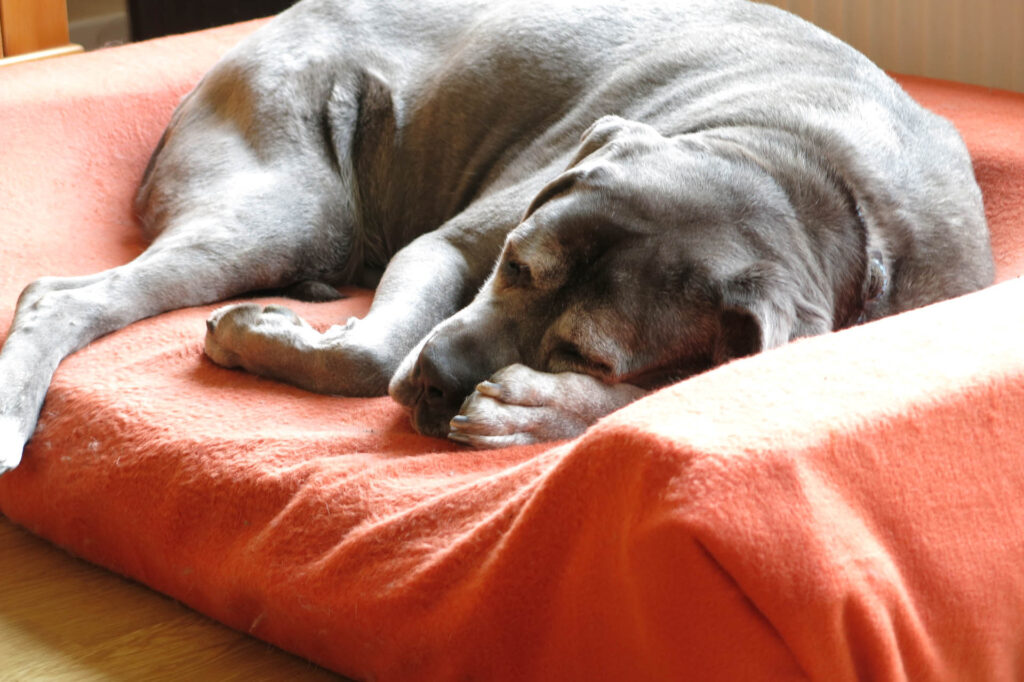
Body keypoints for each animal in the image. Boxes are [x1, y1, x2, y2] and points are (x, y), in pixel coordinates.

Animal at [0, 0, 994, 470]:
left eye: (588, 354)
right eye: (514, 265)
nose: (440, 376)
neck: (802, 171)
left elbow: (655, 394)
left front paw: (531, 409)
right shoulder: (444, 249)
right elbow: (369, 353)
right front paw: (267, 337)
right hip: (287, 207)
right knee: (63, 296)